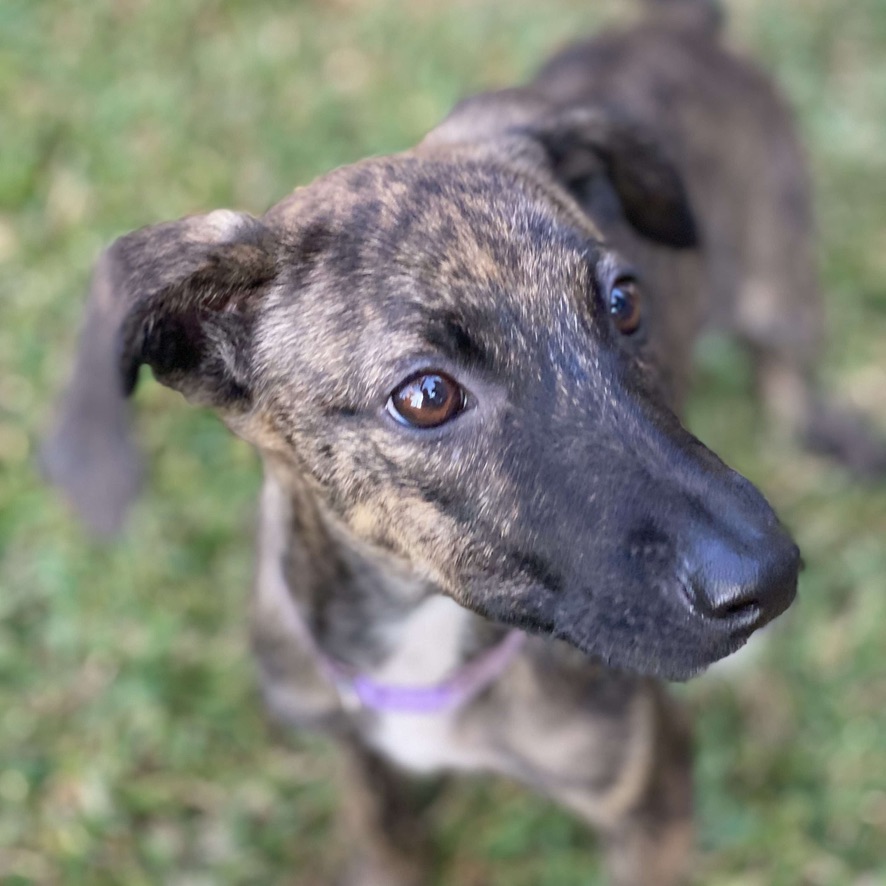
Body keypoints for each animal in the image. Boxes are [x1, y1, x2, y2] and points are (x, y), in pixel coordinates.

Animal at [40, 1, 886, 886]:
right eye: (427, 396)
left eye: (625, 301)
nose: (773, 579)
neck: (423, 647)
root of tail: (675, 25)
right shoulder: (354, 755)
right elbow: (385, 840)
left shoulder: (651, 790)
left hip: (776, 271)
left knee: (788, 362)